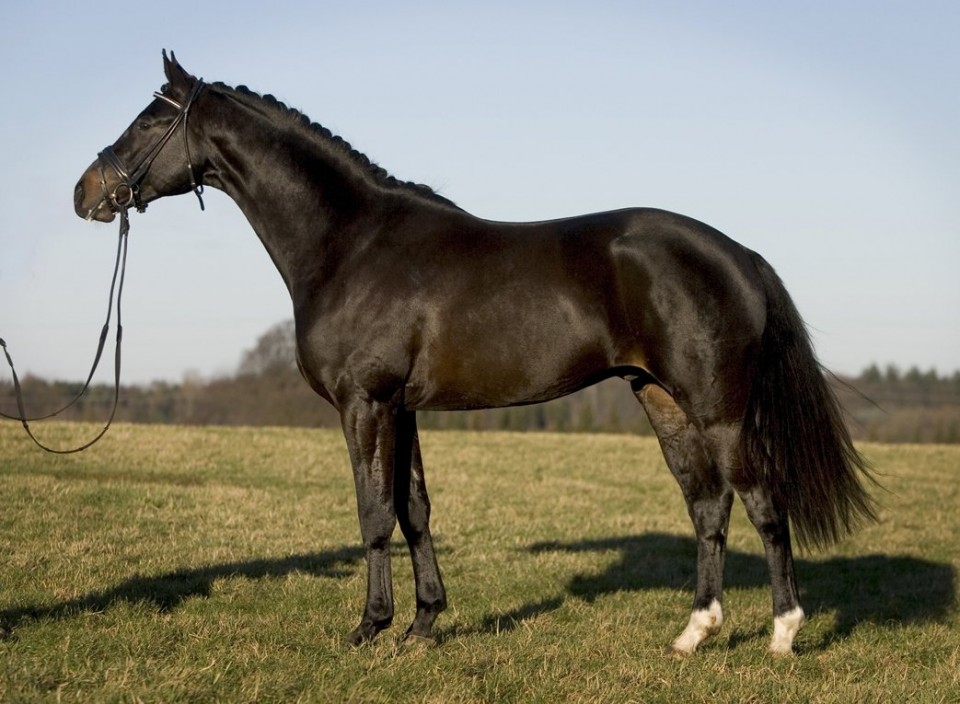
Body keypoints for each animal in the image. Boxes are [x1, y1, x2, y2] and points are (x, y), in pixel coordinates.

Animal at [71, 52, 872, 656]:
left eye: (149, 119)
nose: (86, 193)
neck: (350, 243)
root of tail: (739, 254)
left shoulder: (365, 404)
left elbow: (372, 513)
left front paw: (369, 629)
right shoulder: (403, 409)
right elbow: (414, 510)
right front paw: (423, 627)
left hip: (719, 407)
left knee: (763, 501)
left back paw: (782, 635)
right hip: (662, 399)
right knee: (707, 505)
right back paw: (692, 635)